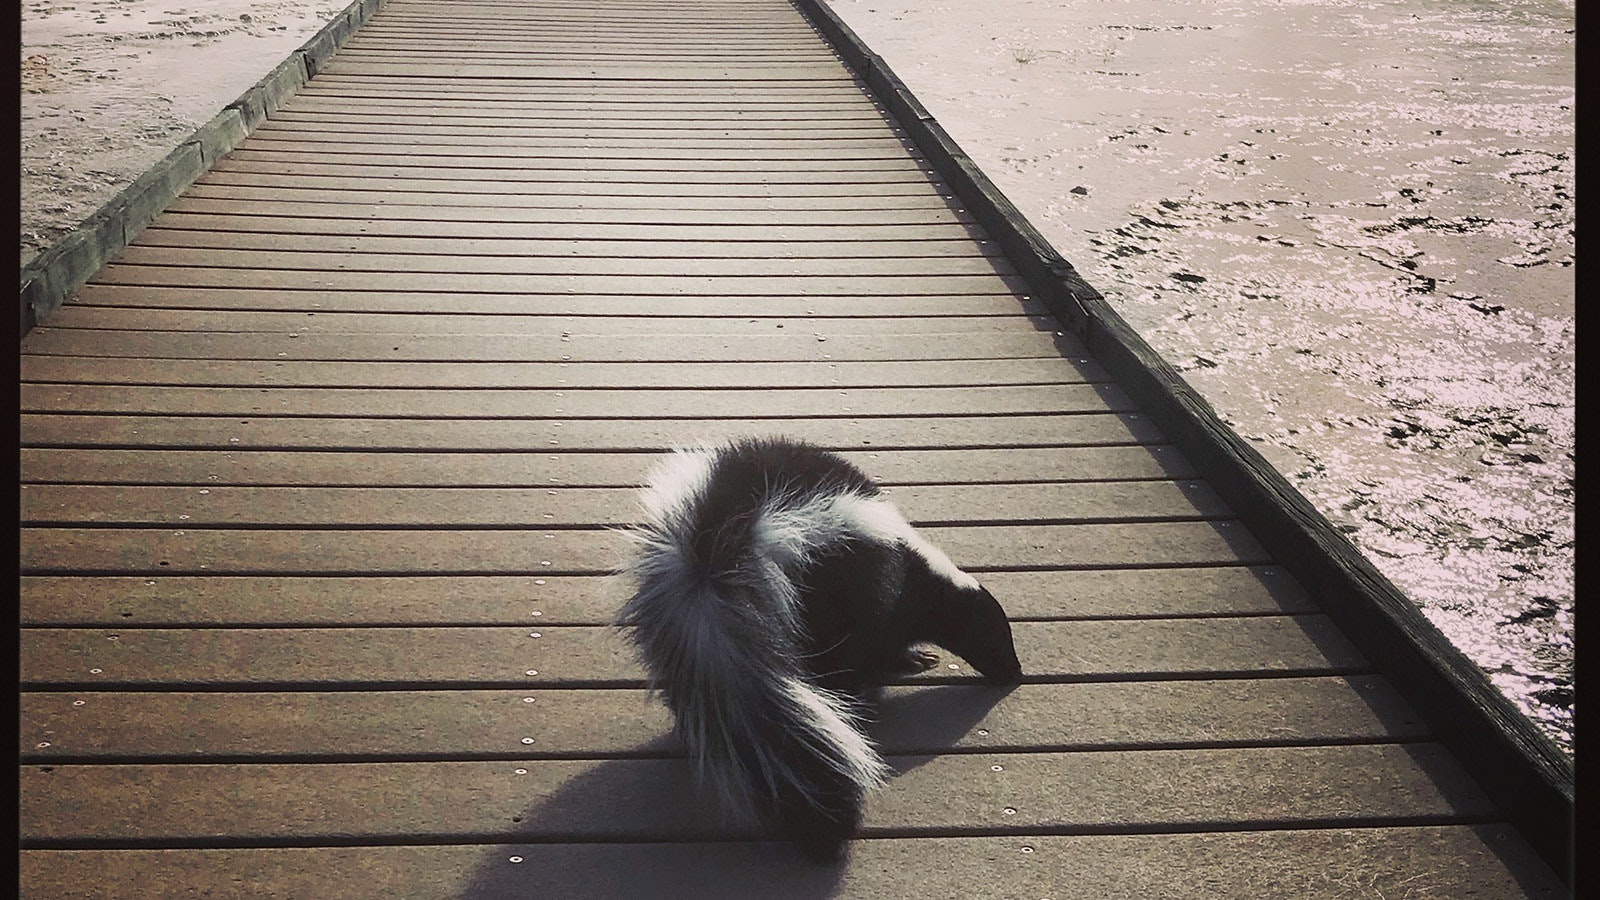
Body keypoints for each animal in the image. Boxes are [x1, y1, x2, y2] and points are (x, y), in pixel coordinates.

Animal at [617, 435, 1017, 851]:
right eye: (990, 637)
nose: (1013, 671)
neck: (919, 570)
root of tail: (722, 535)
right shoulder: (887, 590)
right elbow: (882, 644)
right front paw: (910, 662)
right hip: (823, 577)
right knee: (836, 653)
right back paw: (848, 696)